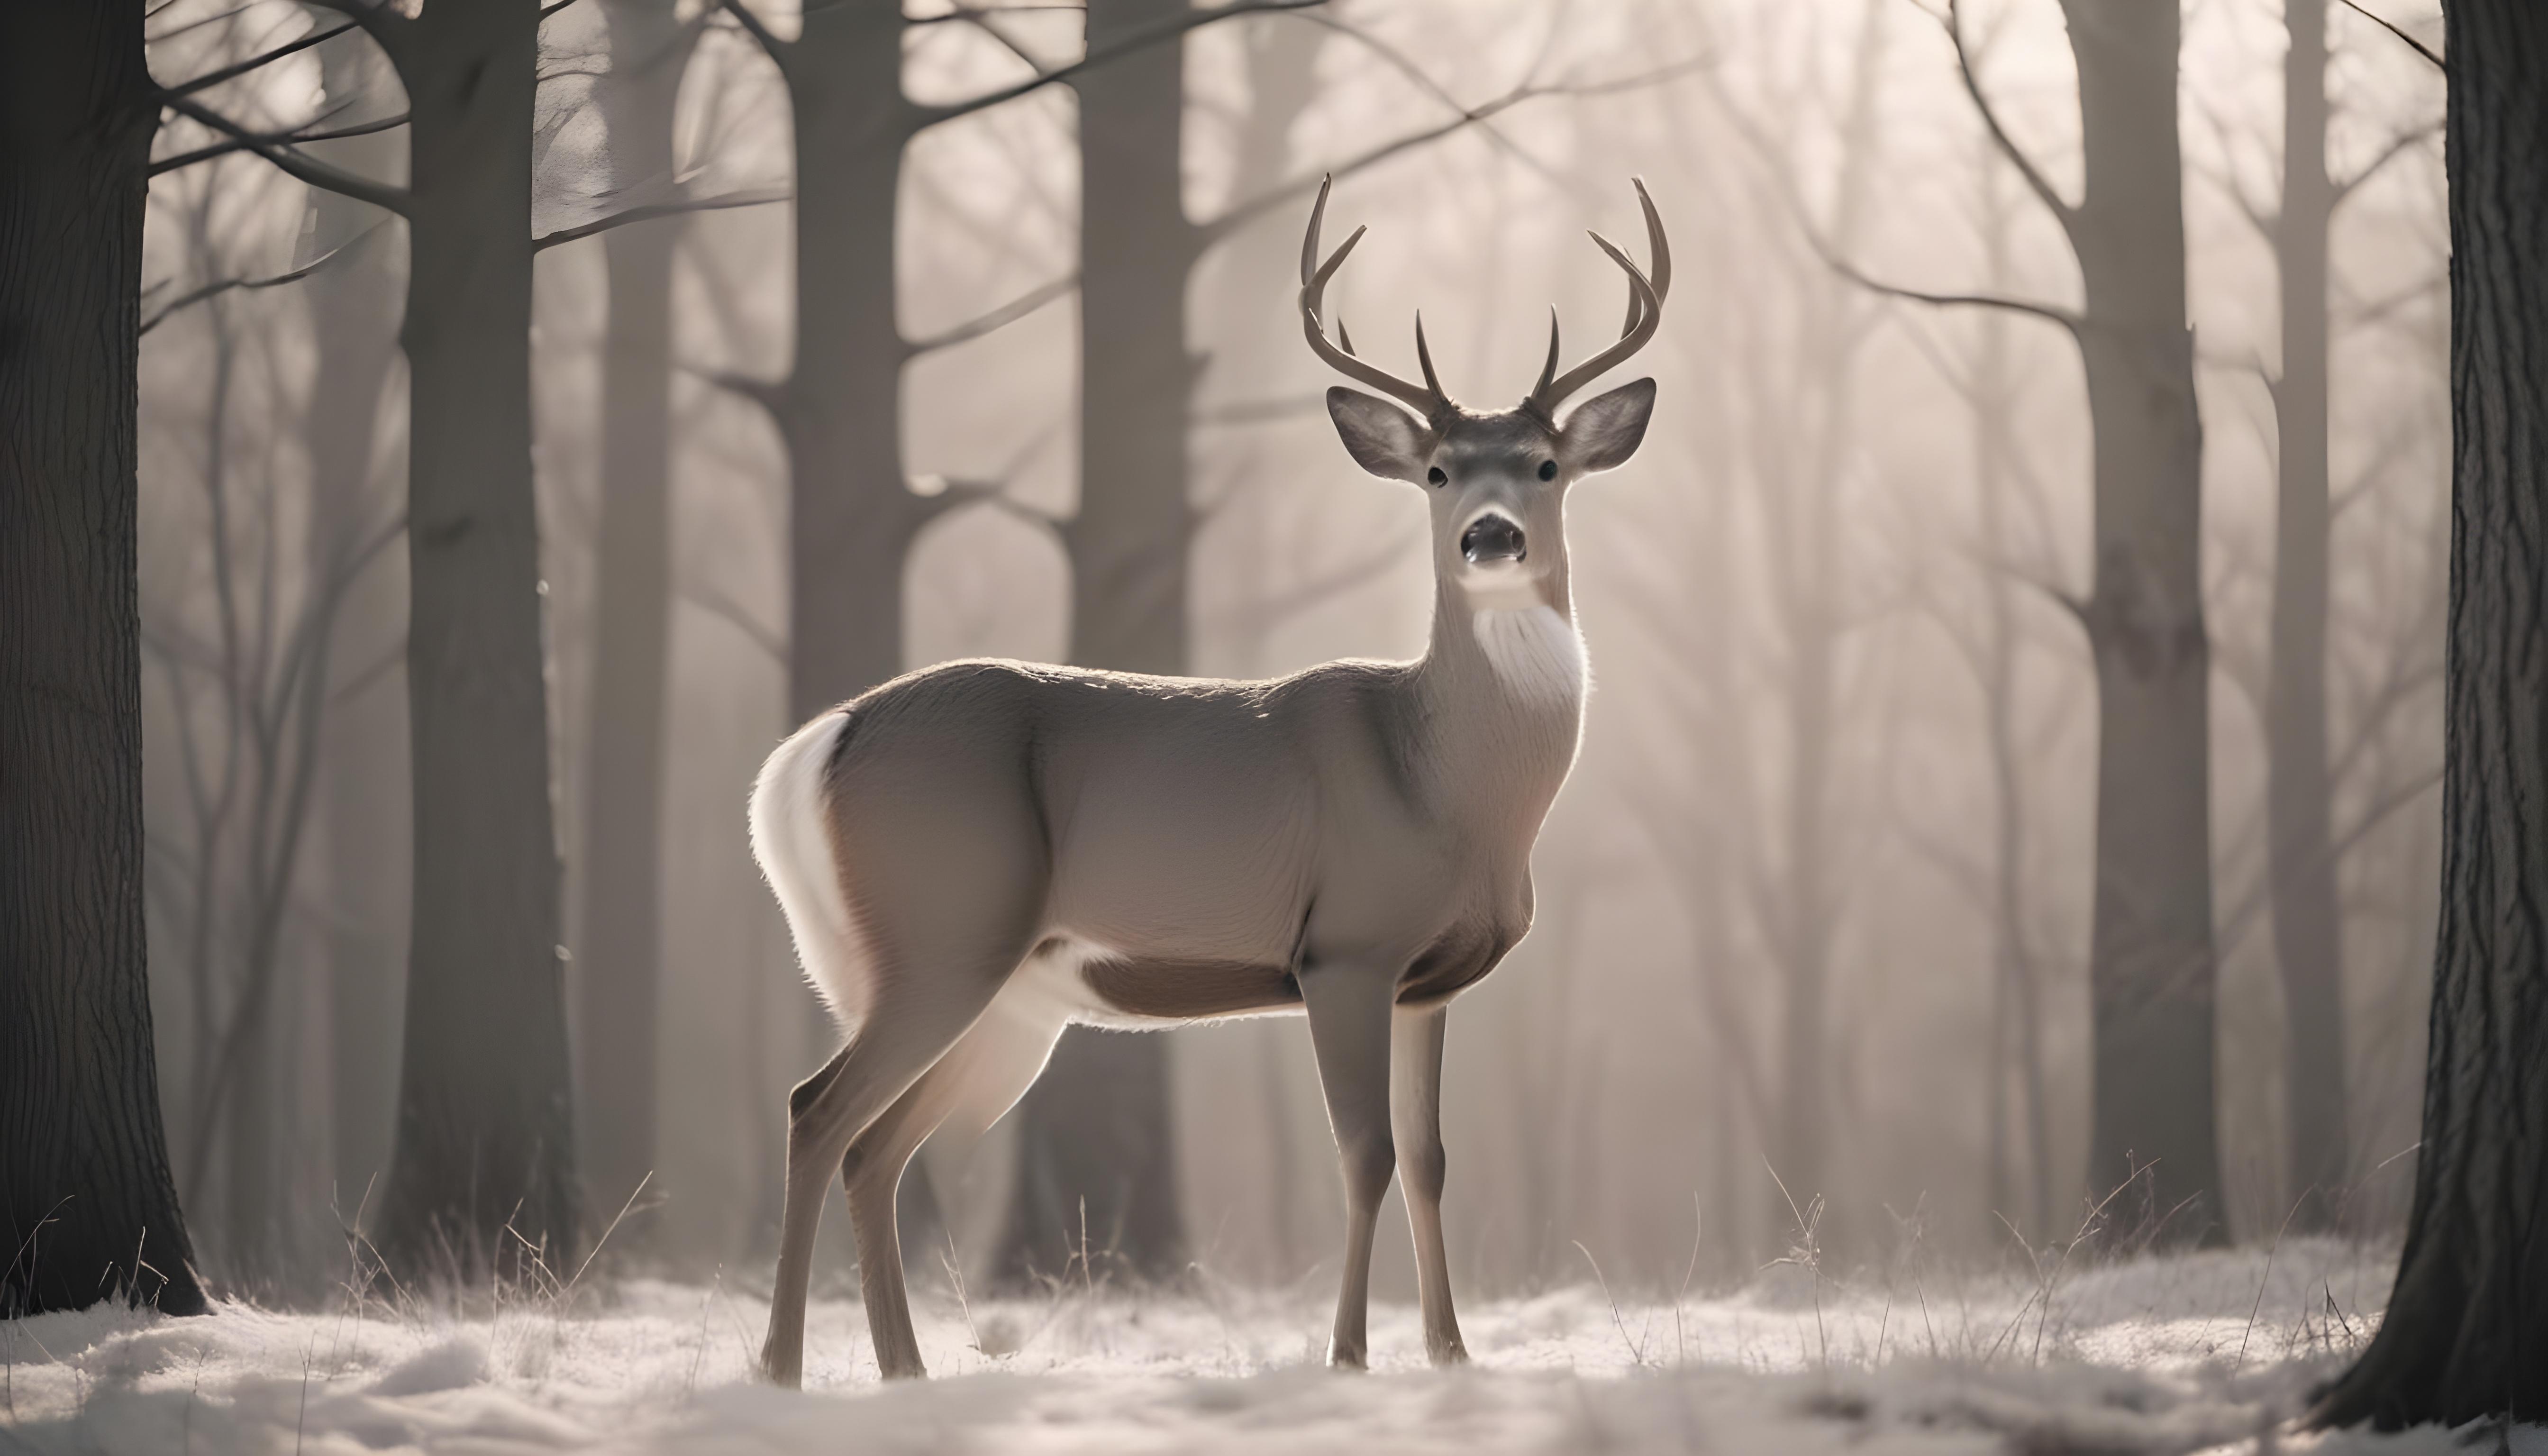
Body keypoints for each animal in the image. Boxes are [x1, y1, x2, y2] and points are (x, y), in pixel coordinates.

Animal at [749, 176, 1668, 1386]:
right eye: (1437, 472)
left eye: (1548, 466)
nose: (1490, 535)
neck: (1446, 781)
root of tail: (824, 740)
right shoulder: (1345, 947)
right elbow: (1366, 1152)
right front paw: (1347, 1352)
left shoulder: (1429, 982)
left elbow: (1430, 1157)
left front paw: (1450, 1351)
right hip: (941, 933)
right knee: (816, 1111)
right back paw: (780, 1368)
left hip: (1004, 994)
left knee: (879, 1148)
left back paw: (905, 1370)